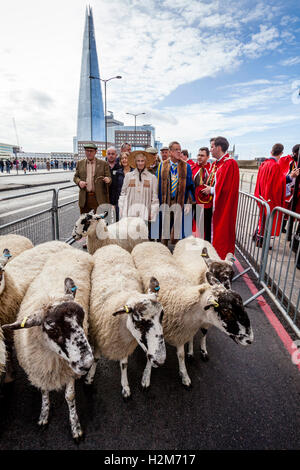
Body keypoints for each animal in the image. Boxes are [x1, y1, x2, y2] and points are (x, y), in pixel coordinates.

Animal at [2, 250, 94, 440]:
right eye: (53, 329)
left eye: (82, 319)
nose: (88, 363)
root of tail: (72, 249)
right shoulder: (39, 371)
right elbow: (44, 392)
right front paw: (44, 415)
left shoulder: (68, 370)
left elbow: (70, 396)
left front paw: (75, 426)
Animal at [85, 244, 166, 398]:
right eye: (139, 321)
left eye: (162, 316)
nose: (160, 360)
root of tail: (111, 245)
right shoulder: (98, 337)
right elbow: (96, 358)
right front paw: (89, 377)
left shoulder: (124, 345)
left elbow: (124, 364)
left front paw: (125, 386)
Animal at [132, 241, 253, 388]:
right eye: (226, 311)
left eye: (232, 275)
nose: (250, 340)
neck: (180, 298)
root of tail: (149, 242)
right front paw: (146, 376)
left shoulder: (182, 331)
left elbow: (182, 354)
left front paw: (184, 373)